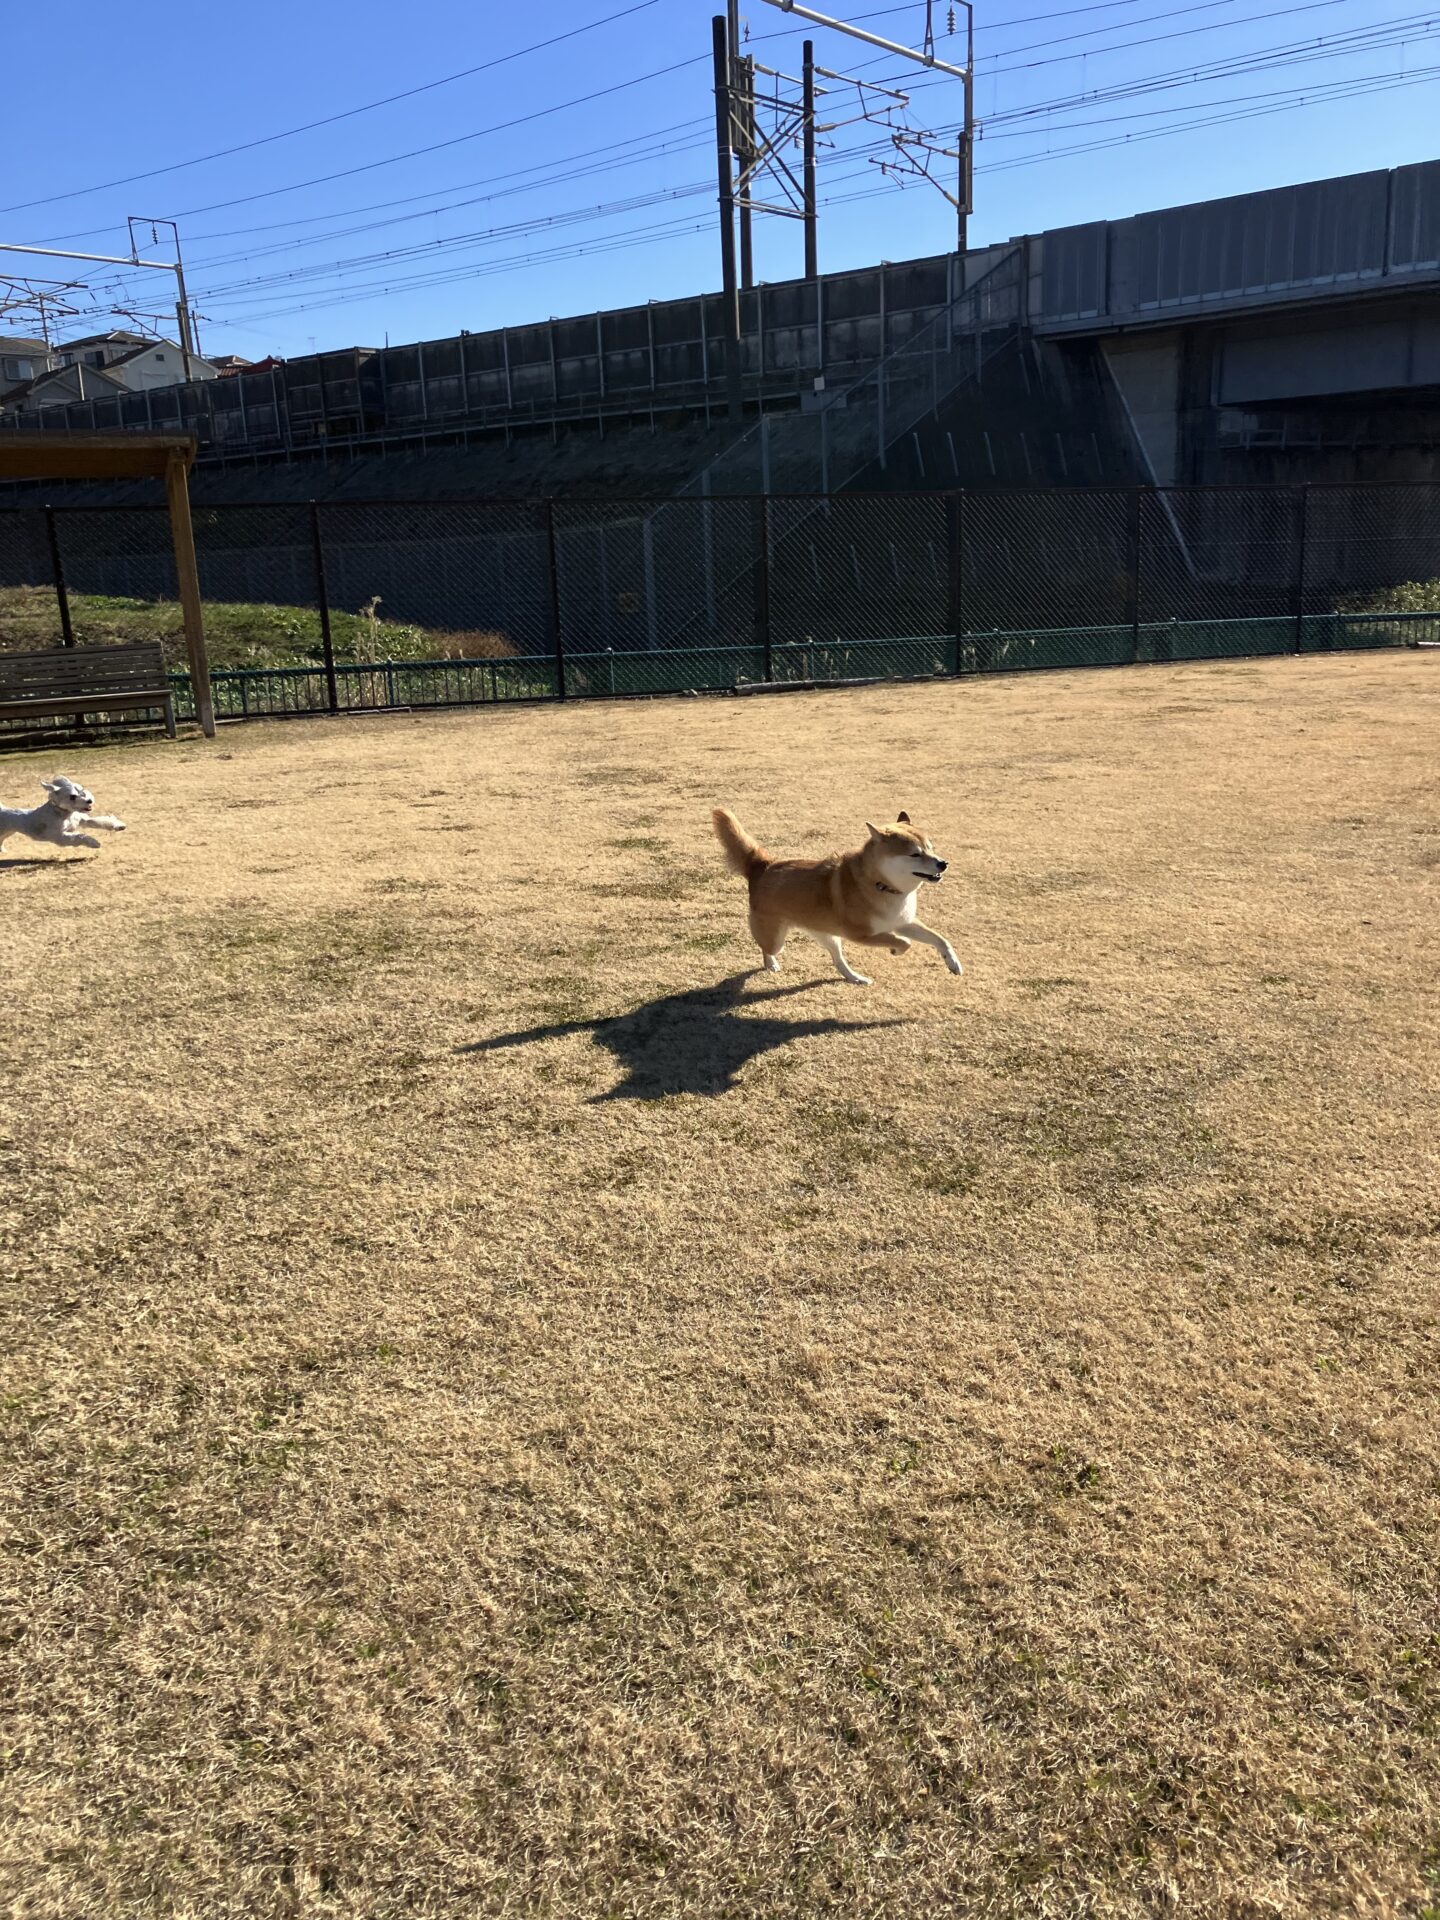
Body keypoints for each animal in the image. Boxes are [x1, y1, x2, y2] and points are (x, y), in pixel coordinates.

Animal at [713, 808, 961, 986]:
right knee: (767, 950)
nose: (943, 863)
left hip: (827, 935)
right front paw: (895, 950)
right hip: (777, 939)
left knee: (838, 960)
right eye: (914, 854)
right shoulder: (861, 935)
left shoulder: (903, 922)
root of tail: (763, 865)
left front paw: (953, 963)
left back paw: (855, 978)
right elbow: (903, 942)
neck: (881, 885)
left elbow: (940, 939)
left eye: (931, 847)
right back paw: (771, 965)